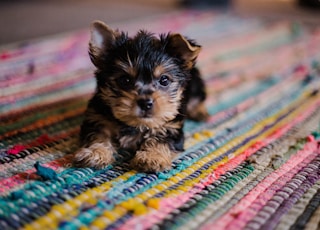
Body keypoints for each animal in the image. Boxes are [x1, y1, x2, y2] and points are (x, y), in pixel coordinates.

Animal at [74, 21, 209, 172]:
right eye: (125, 80)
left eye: (164, 80)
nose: (145, 103)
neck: (136, 124)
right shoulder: (97, 117)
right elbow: (98, 134)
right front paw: (95, 152)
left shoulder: (171, 126)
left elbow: (160, 139)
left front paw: (152, 157)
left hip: (195, 83)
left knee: (198, 97)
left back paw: (199, 111)